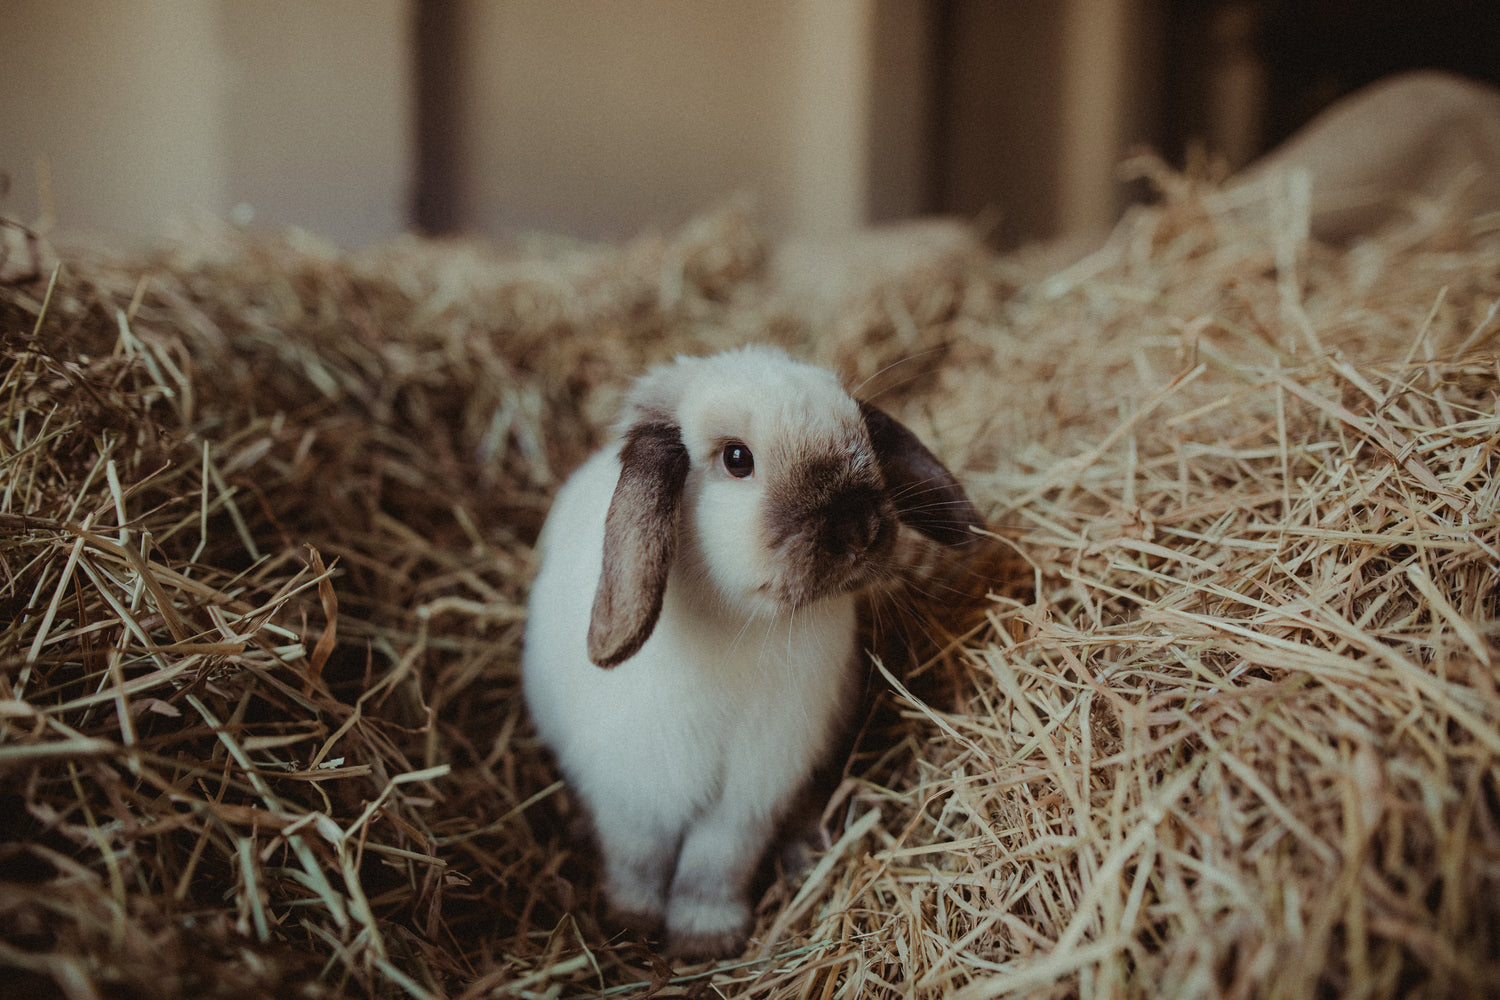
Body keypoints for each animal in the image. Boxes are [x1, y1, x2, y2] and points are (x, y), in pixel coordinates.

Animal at [519, 346, 984, 959]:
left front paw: (705, 939)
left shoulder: (749, 796)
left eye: (861, 433)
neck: (748, 623)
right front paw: (630, 920)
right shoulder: (635, 791)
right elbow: (636, 858)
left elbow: (715, 865)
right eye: (737, 459)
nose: (860, 528)